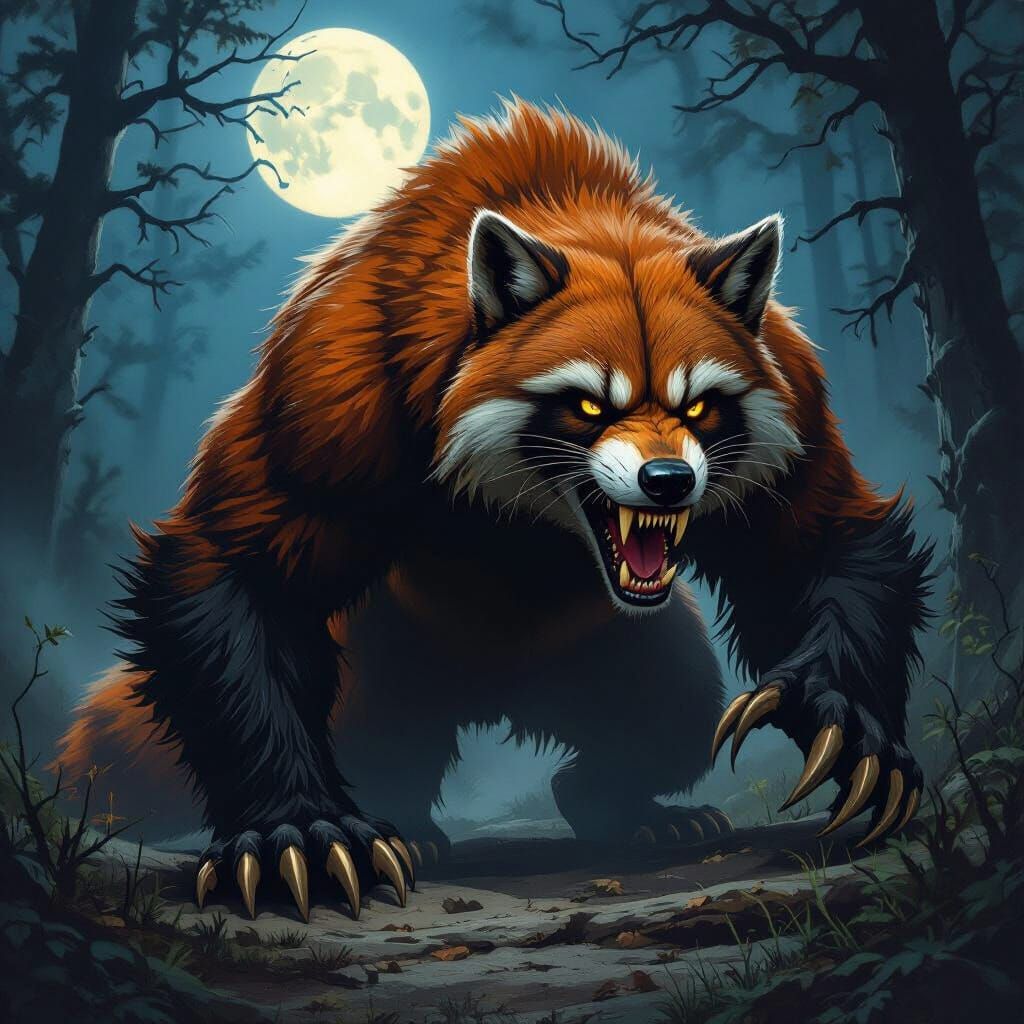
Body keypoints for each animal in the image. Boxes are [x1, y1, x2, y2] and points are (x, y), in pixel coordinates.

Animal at [55, 100, 930, 922]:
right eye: (587, 404)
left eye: (701, 406)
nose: (668, 481)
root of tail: (496, 698)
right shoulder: (334, 388)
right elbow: (236, 572)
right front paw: (291, 830)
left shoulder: (791, 381)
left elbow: (826, 542)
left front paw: (839, 712)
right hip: (380, 649)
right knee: (377, 733)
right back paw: (412, 824)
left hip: (611, 650)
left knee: (677, 706)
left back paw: (628, 807)